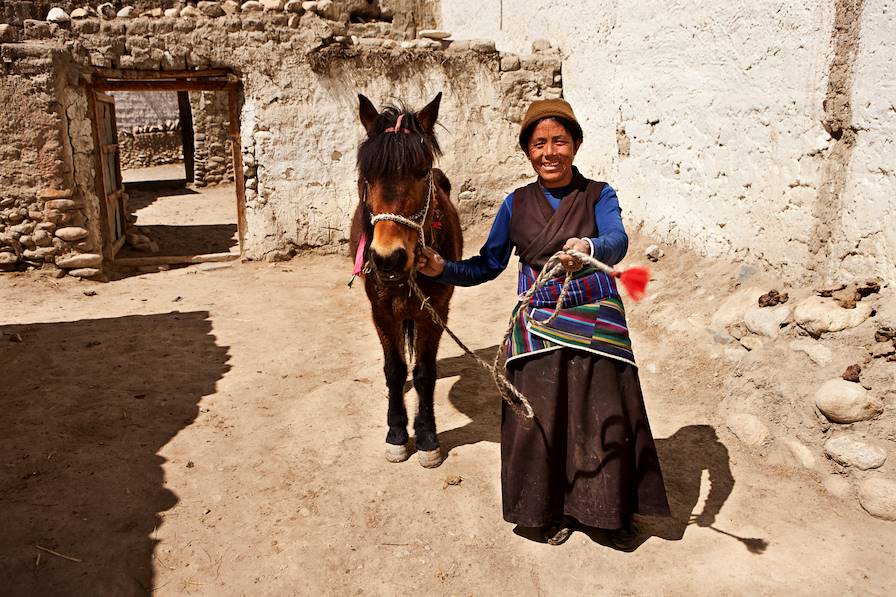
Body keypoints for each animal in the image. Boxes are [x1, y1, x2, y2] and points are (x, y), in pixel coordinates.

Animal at [348, 92, 462, 466]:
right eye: (366, 175)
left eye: (422, 172)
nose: (389, 258)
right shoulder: (381, 312)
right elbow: (395, 370)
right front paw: (397, 433)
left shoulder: (435, 311)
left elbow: (425, 373)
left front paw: (426, 435)